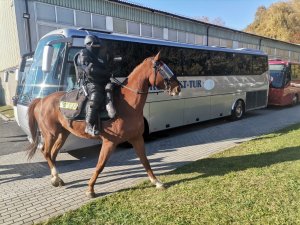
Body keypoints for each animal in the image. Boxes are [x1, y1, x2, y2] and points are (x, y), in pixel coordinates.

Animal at [26, 51, 180, 198]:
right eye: (162, 69)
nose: (178, 87)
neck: (127, 105)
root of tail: (41, 100)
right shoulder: (109, 142)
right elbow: (100, 165)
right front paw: (90, 189)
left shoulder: (136, 138)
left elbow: (145, 160)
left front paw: (156, 182)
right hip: (50, 134)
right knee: (46, 152)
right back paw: (56, 177)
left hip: (63, 134)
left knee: (53, 154)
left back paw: (56, 178)